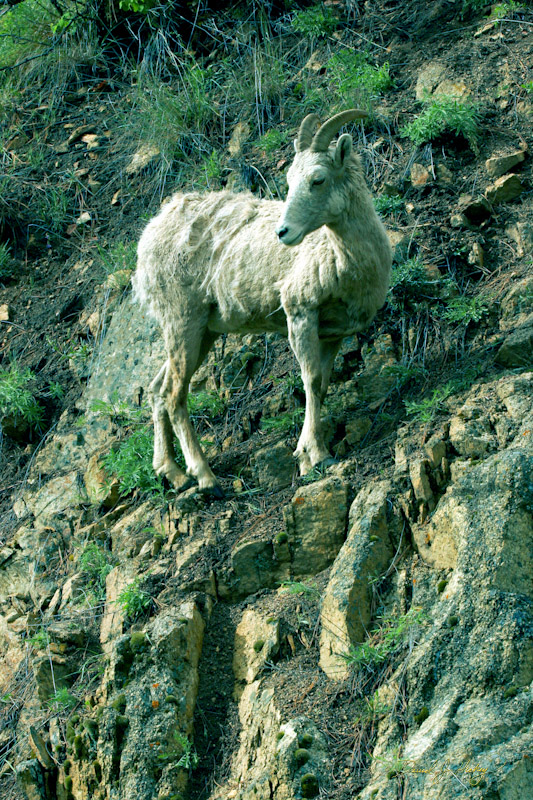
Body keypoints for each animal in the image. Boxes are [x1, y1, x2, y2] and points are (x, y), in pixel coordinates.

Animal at [133, 109, 392, 497]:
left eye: (317, 179)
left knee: (156, 390)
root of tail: (147, 238)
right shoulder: (299, 312)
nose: (283, 232)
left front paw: (308, 453)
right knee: (174, 395)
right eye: (290, 180)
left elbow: (322, 385)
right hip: (182, 321)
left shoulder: (332, 333)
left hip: (199, 332)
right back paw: (205, 477)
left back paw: (172, 473)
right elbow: (311, 381)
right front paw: (315, 457)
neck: (347, 260)